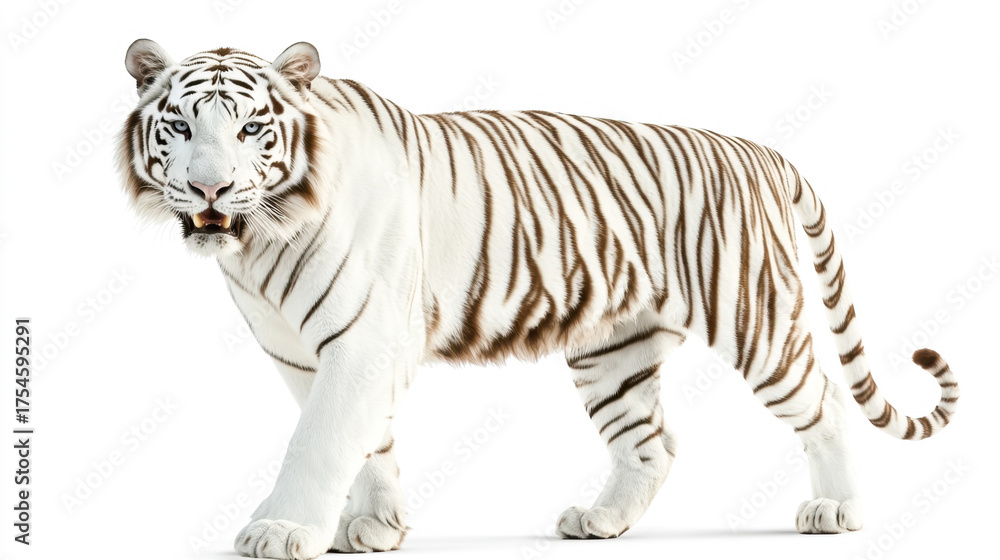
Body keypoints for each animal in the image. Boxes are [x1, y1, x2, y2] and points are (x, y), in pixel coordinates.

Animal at [116, 39, 959, 559]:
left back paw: (839, 513)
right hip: (613, 350)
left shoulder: (361, 339)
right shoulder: (303, 352)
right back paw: (602, 521)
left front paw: (283, 529)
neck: (261, 243)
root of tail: (760, 150)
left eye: (252, 129)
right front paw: (377, 526)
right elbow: (367, 440)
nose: (209, 188)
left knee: (826, 403)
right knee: (653, 443)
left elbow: (321, 440)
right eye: (180, 125)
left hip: (754, 318)